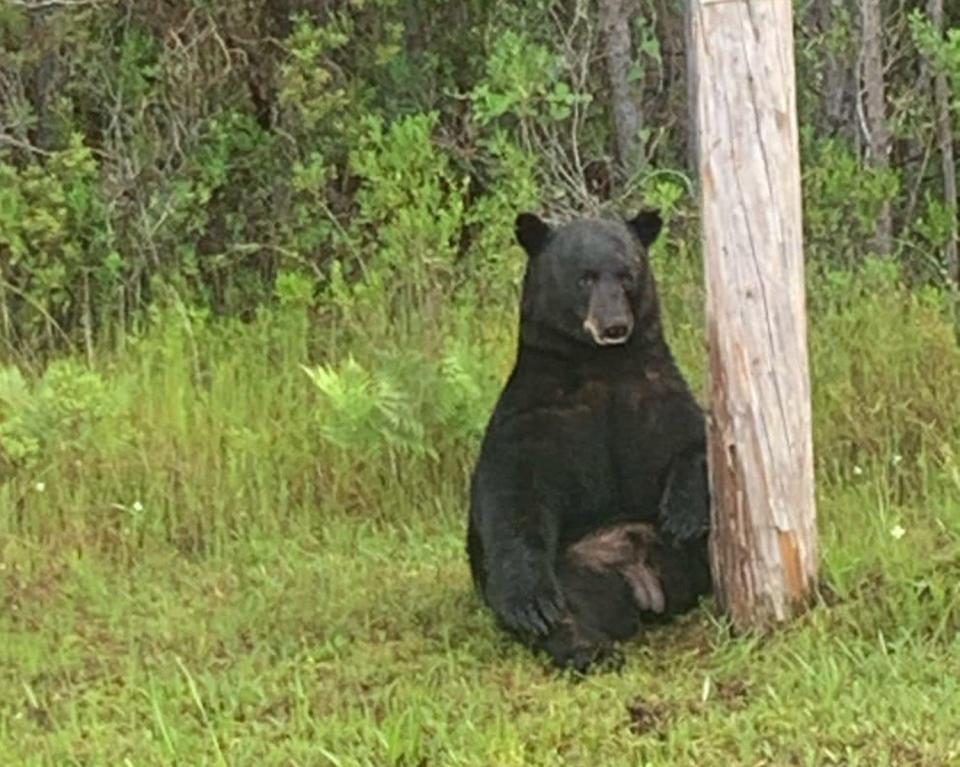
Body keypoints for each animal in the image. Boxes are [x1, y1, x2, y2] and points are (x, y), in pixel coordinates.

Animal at [464, 210, 712, 672]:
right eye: (585, 277)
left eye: (627, 274)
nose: (614, 325)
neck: (602, 365)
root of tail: (642, 581)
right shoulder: (537, 416)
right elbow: (513, 495)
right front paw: (529, 604)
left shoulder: (656, 393)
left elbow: (696, 440)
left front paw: (684, 514)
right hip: (574, 570)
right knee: (567, 609)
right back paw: (586, 646)